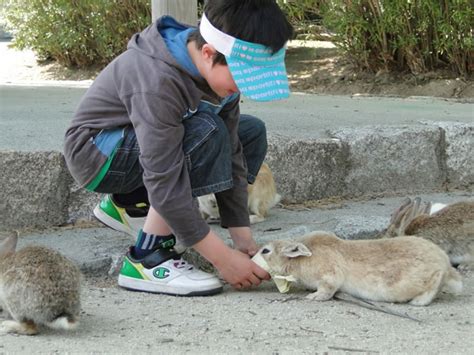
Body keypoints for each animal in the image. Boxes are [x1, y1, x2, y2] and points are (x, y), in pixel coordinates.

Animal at [258, 231, 462, 306]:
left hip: (424, 278)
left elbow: (327, 289)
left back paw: (418, 301)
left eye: (265, 251)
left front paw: (314, 297)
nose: (252, 257)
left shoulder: (329, 276)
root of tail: (443, 263)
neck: (298, 260)